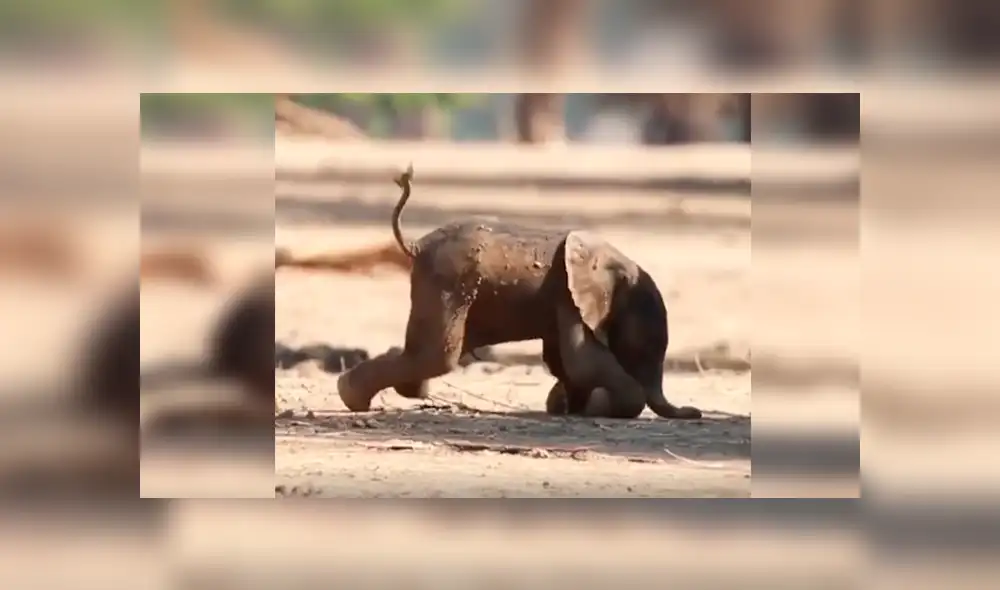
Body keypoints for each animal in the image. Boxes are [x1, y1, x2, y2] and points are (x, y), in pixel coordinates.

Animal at [336, 166, 702, 420]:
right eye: (645, 346)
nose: (695, 413)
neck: (615, 262)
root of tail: (416, 244)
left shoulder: (560, 299)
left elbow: (562, 360)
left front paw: (571, 406)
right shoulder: (568, 294)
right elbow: (581, 359)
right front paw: (597, 405)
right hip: (449, 281)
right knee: (438, 355)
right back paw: (354, 398)